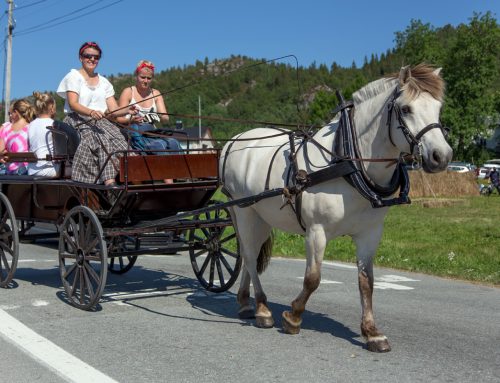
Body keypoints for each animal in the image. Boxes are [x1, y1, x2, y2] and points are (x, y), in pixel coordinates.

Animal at [221, 63, 452, 354]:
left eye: (438, 107)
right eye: (406, 109)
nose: (441, 156)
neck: (349, 163)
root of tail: (233, 140)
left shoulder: (370, 234)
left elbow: (367, 282)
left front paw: (372, 332)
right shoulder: (316, 231)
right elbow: (313, 278)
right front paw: (293, 316)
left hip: (262, 218)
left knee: (248, 255)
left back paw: (244, 303)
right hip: (245, 212)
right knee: (250, 258)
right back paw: (262, 308)